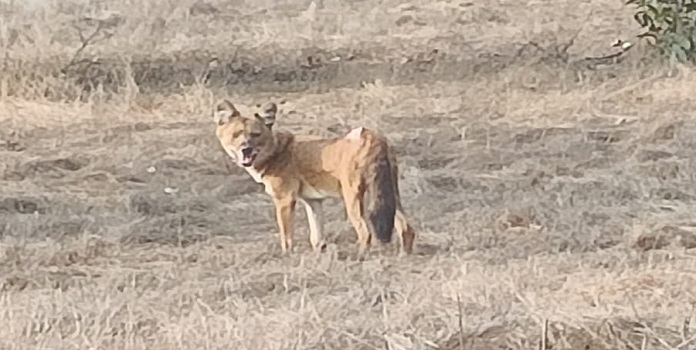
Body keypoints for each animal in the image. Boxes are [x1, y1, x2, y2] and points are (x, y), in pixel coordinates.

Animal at [212, 100, 416, 256]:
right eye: (236, 135)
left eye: (256, 135)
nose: (246, 149)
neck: (276, 152)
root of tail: (373, 137)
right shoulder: (313, 201)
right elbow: (316, 237)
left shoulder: (284, 200)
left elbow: (286, 236)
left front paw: (286, 257)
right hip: (390, 196)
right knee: (407, 229)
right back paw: (403, 256)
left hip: (352, 199)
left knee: (366, 233)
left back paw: (360, 258)